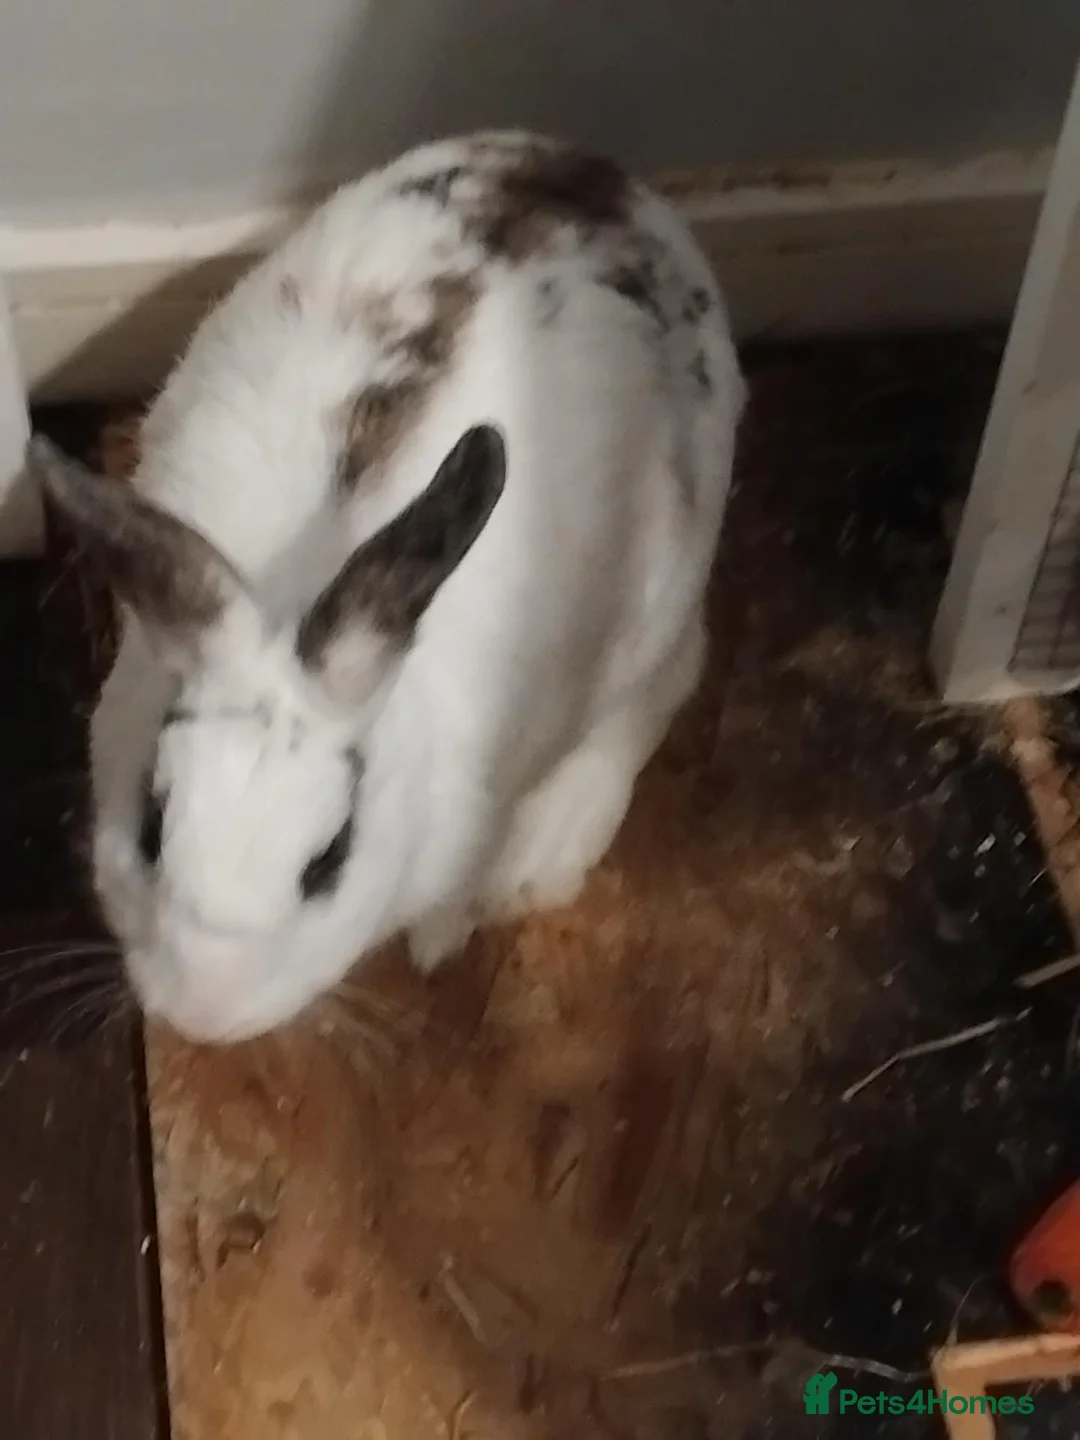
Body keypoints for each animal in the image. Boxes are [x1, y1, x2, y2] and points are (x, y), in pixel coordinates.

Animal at [34, 129, 746, 1045]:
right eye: (152, 830)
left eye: (329, 860)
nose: (204, 1015)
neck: (297, 591)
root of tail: (610, 185)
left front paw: (440, 940)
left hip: (660, 596)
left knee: (666, 682)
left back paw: (544, 854)